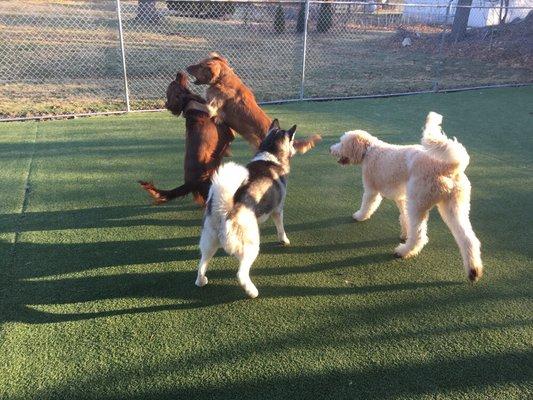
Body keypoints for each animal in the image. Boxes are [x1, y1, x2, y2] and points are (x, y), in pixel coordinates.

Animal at [328, 111, 482, 282]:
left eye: (341, 143)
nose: (330, 149)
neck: (369, 150)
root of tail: (448, 167)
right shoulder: (402, 198)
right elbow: (403, 217)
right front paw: (404, 233)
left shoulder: (371, 190)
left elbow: (367, 205)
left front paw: (360, 216)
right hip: (454, 208)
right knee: (468, 239)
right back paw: (473, 271)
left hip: (418, 205)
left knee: (420, 236)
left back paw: (403, 251)